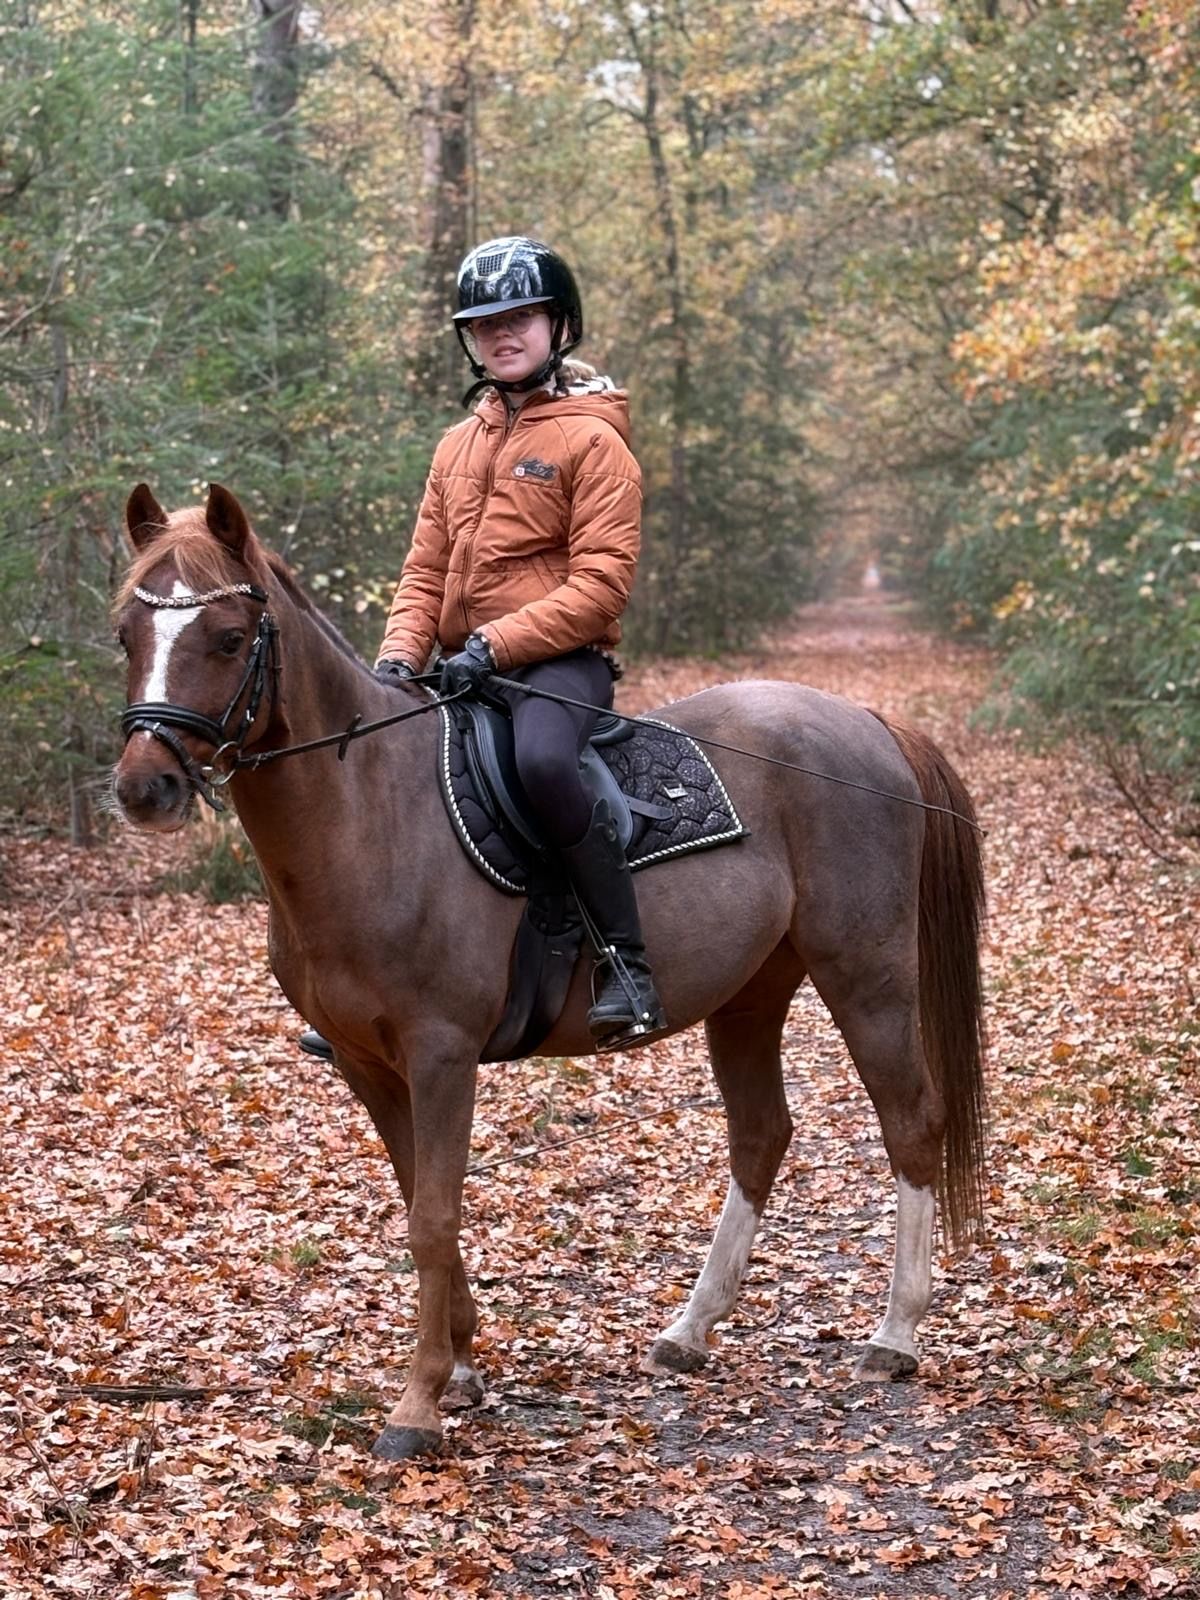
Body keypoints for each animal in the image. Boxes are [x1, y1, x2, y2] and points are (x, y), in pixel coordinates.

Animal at [111, 482, 987, 1462]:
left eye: (228, 638)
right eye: (126, 636)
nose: (145, 786)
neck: (370, 813)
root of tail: (866, 722)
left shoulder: (442, 1053)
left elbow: (433, 1216)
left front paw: (419, 1402)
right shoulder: (368, 1065)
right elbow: (420, 1201)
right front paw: (462, 1368)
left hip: (867, 977)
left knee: (910, 1122)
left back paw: (894, 1336)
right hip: (751, 994)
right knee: (761, 1135)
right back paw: (689, 1331)